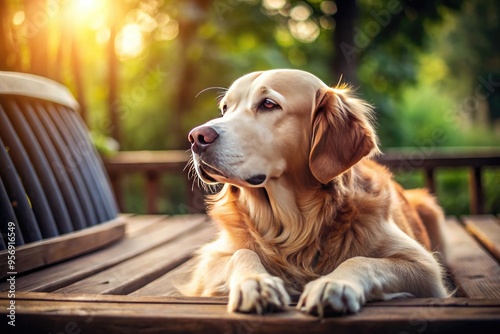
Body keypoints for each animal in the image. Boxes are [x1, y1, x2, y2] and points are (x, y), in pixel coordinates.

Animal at [184, 68, 450, 316]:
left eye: (268, 104)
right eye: (225, 109)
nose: (197, 136)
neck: (293, 224)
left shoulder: (425, 267)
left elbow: (361, 260)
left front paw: (333, 285)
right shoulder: (210, 261)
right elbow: (242, 252)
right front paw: (256, 283)